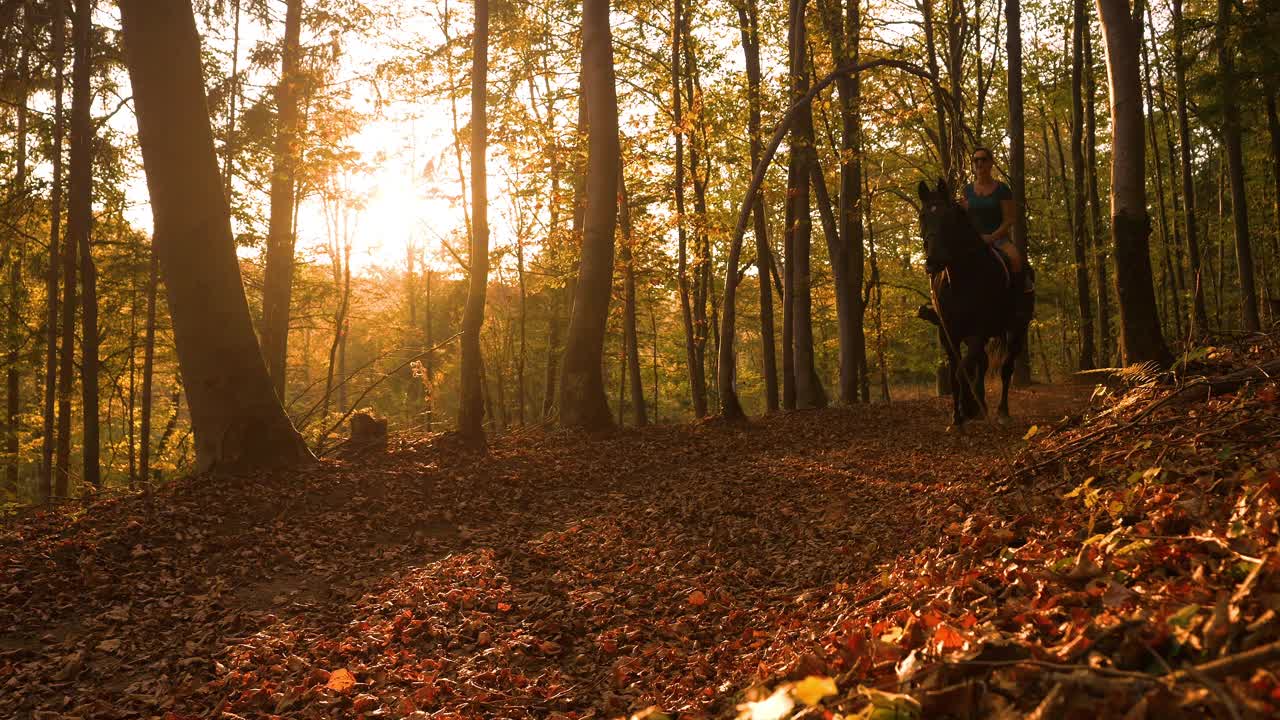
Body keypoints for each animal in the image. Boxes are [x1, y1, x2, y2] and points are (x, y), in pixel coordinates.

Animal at [916, 178, 1034, 427]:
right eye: (923, 215)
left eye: (948, 217)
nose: (933, 262)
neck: (962, 277)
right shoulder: (949, 334)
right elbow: (956, 374)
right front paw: (957, 417)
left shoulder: (978, 331)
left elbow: (963, 371)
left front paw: (968, 409)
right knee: (983, 363)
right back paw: (982, 407)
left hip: (1016, 329)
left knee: (1005, 368)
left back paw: (1001, 411)